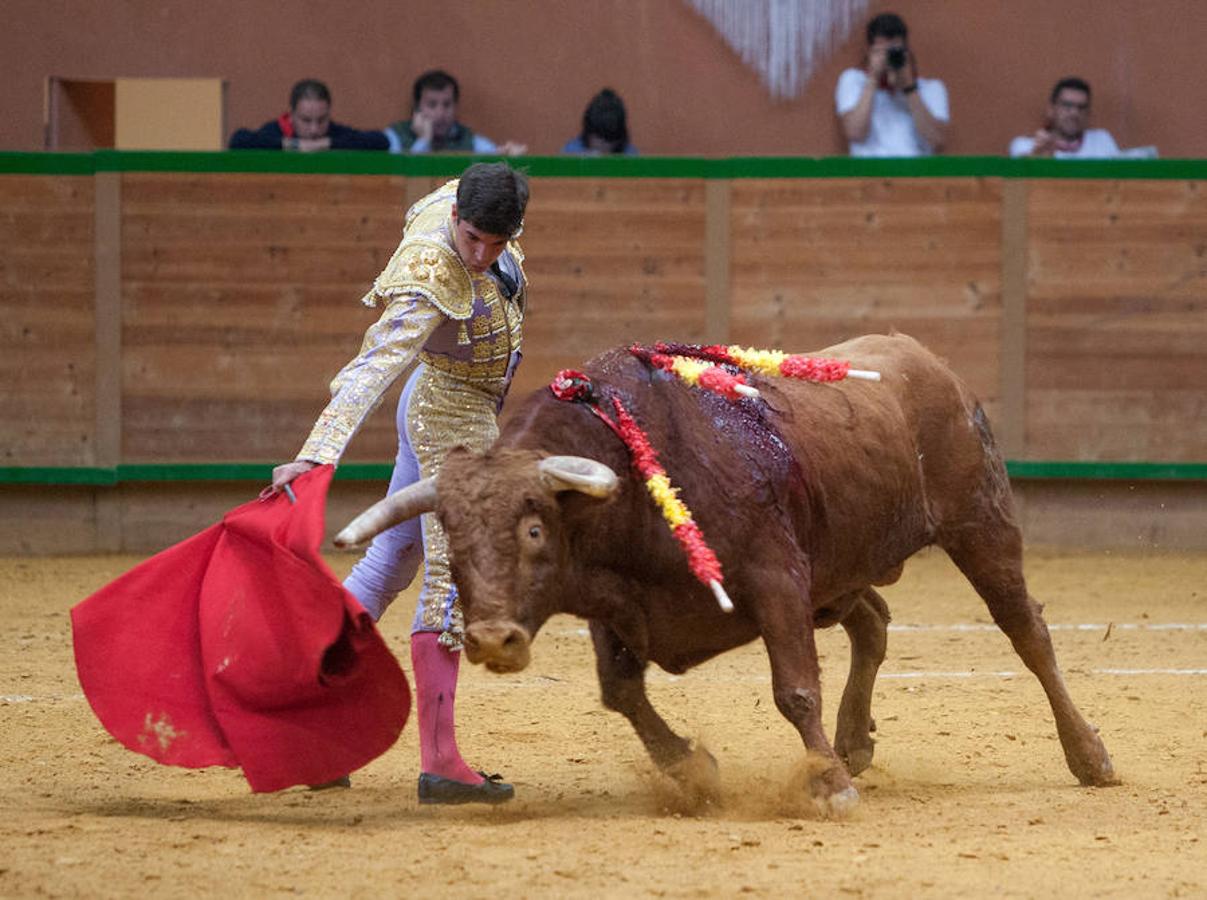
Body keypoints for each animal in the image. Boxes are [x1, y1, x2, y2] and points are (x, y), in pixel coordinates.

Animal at [335, 332, 1115, 810]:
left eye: (533, 529)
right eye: (452, 538)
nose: (493, 639)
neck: (634, 471)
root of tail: (927, 360)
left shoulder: (776, 580)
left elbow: (793, 690)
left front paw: (828, 786)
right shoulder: (617, 607)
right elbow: (621, 692)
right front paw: (694, 770)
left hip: (979, 523)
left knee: (1026, 632)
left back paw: (1089, 757)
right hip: (837, 570)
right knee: (873, 622)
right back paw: (855, 740)